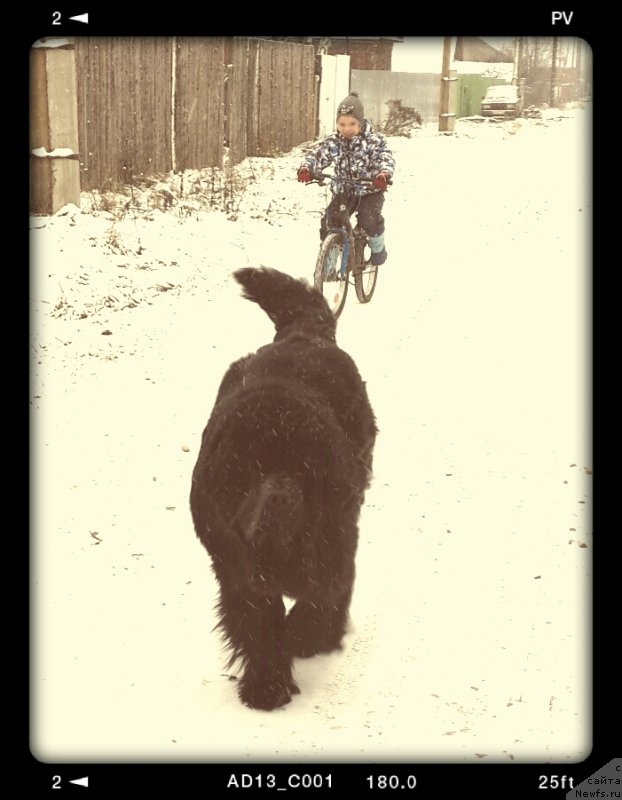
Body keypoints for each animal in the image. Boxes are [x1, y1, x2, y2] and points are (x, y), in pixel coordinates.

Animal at [190, 268, 378, 712]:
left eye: (303, 470)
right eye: (249, 470)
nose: (280, 498)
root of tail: (303, 336)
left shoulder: (335, 538)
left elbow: (325, 593)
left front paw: (305, 636)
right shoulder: (236, 566)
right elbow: (259, 621)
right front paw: (267, 685)